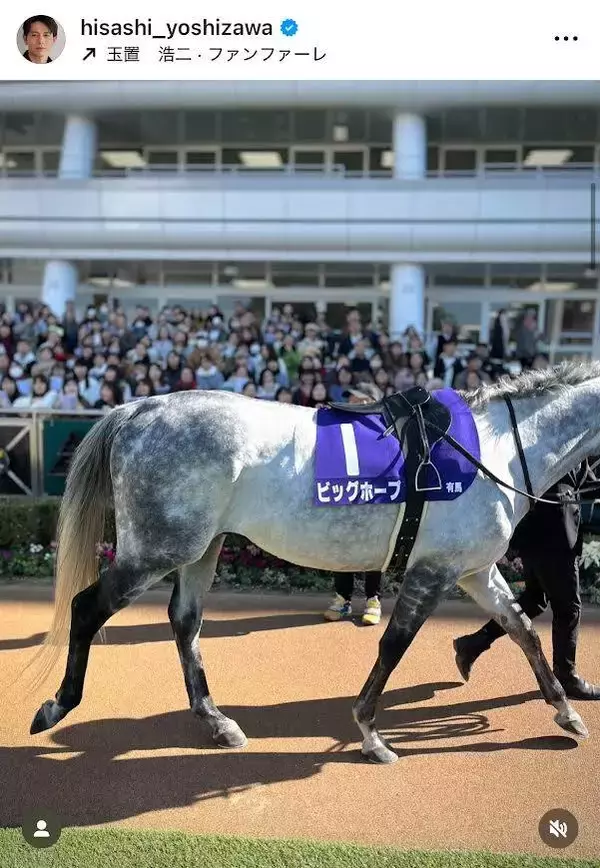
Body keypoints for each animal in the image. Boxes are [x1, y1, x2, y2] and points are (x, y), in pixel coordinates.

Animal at [25, 361, 600, 764]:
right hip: (158, 547)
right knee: (87, 608)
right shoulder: (433, 569)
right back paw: (56, 705)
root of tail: (139, 409)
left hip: (202, 547)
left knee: (185, 622)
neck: (495, 449)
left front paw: (566, 711)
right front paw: (369, 731)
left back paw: (216, 721)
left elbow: (523, 629)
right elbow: (394, 645)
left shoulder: (474, 569)